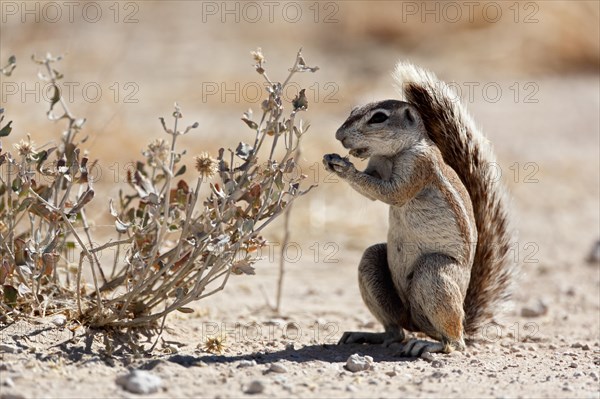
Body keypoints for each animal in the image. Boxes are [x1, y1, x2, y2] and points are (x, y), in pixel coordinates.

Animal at [324, 63, 516, 360]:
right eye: (353, 110)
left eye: (378, 118)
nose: (338, 136)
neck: (393, 155)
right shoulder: (377, 163)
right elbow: (372, 190)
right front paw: (331, 162)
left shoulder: (418, 166)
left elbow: (390, 193)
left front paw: (345, 168)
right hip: (373, 265)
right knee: (396, 331)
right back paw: (369, 335)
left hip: (433, 272)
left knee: (454, 341)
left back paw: (432, 344)